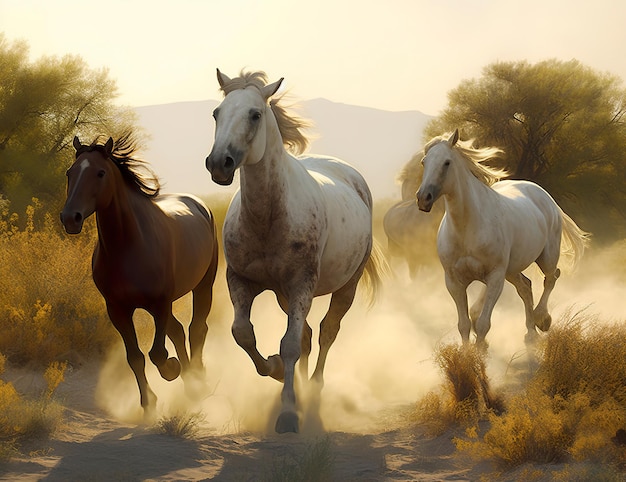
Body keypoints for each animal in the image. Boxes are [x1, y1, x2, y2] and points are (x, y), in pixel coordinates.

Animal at [61, 133, 217, 418]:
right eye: (70, 172)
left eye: (100, 173)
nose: (70, 218)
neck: (130, 246)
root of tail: (199, 204)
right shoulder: (118, 309)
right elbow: (135, 356)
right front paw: (148, 404)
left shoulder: (160, 304)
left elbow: (157, 354)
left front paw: (172, 369)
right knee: (178, 331)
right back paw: (189, 380)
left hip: (203, 286)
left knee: (196, 328)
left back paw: (197, 380)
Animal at [204, 69, 386, 434]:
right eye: (217, 113)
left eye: (255, 114)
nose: (219, 164)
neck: (268, 220)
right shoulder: (241, 281)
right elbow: (243, 334)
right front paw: (275, 371)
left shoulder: (301, 283)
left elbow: (289, 344)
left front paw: (288, 412)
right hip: (283, 294)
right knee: (307, 335)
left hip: (345, 286)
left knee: (327, 332)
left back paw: (313, 389)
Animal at [414, 130, 584, 344]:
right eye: (424, 162)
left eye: (447, 162)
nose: (423, 198)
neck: (466, 228)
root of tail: (545, 196)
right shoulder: (453, 281)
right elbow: (464, 325)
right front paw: (469, 350)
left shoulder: (495, 277)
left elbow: (482, 324)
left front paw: (480, 349)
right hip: (512, 270)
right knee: (526, 287)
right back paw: (531, 333)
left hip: (546, 257)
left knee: (551, 278)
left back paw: (542, 319)